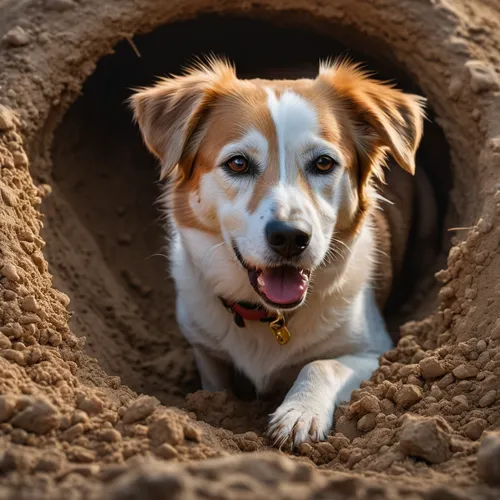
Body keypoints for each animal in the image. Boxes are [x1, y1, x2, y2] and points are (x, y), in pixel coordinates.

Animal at [129, 56, 426, 448]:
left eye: (324, 163)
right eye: (238, 163)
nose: (290, 237)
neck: (268, 317)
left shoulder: (377, 353)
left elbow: (321, 364)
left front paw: (299, 412)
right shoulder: (206, 351)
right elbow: (215, 385)